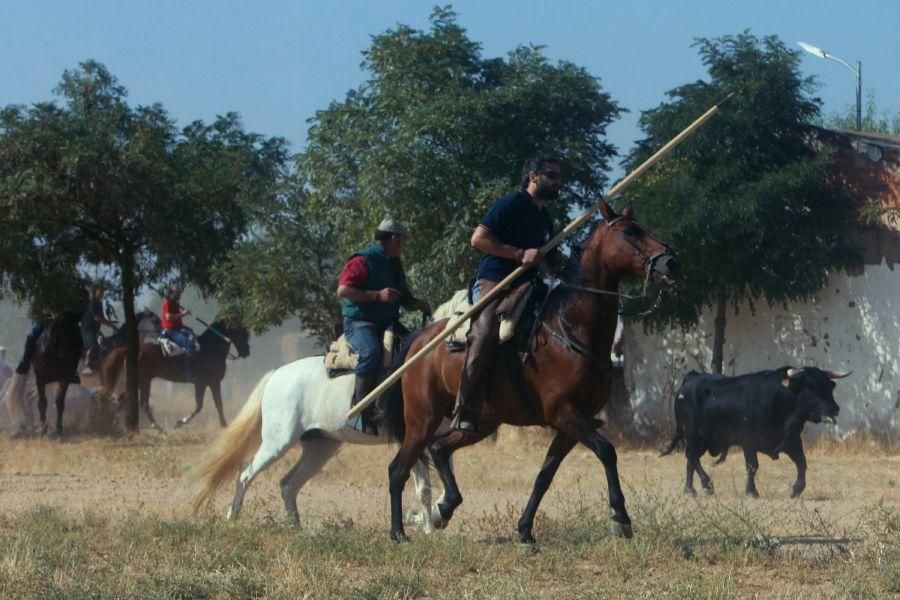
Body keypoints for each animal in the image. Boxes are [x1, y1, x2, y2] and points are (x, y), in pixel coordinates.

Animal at [99, 322, 250, 434]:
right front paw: (179, 423)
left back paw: (116, 425)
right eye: (240, 333)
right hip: (144, 381)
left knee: (123, 400)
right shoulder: (200, 383)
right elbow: (199, 406)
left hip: (137, 382)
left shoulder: (214, 383)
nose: (246, 352)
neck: (210, 349)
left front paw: (224, 425)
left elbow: (219, 404)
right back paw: (157, 428)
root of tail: (130, 351)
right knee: (142, 403)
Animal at [191, 354, 450, 532]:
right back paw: (232, 517)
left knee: (288, 484)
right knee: (246, 473)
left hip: (319, 450)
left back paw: (296, 528)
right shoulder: (413, 439)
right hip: (278, 443)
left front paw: (431, 522)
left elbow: (439, 487)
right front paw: (428, 527)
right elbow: (424, 487)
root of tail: (275, 375)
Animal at [382, 202, 684, 544]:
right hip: (422, 419)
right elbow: (607, 451)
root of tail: (418, 341)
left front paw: (525, 528)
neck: (570, 327)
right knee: (398, 469)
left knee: (439, 448)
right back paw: (398, 532)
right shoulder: (564, 413)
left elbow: (545, 475)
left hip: (481, 422)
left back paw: (443, 509)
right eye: (629, 231)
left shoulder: (572, 423)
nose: (671, 262)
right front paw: (621, 517)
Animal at [656, 366, 848, 496]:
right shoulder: (749, 442)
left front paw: (797, 489)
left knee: (690, 460)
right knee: (692, 457)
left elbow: (802, 463)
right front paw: (751, 491)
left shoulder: (792, 441)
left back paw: (690, 489)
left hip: (702, 440)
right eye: (812, 387)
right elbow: (752, 466)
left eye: (830, 386)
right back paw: (706, 485)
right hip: (693, 435)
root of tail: (691, 379)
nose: (835, 408)